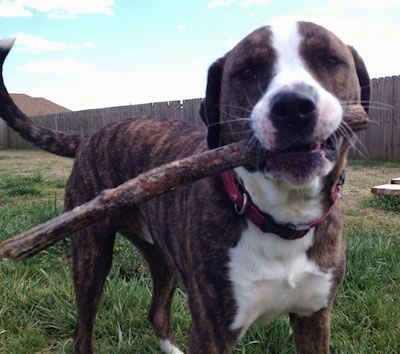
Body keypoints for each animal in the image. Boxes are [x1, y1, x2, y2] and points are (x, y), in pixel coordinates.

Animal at [0, 20, 368, 352]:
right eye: (247, 71)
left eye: (330, 60)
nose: (292, 106)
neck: (281, 218)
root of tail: (90, 135)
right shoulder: (211, 332)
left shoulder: (314, 317)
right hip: (91, 257)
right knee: (83, 330)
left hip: (161, 257)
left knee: (156, 312)